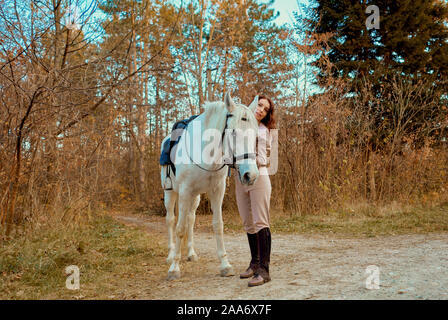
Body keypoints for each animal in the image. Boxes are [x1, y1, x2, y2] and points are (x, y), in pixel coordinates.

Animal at [160, 92, 260, 280]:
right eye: (233, 132)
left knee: (191, 219)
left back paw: (191, 253)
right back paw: (170, 255)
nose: (250, 175)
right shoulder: (185, 191)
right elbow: (179, 229)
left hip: (196, 197)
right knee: (170, 220)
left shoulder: (217, 191)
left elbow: (218, 225)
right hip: (171, 193)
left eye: (256, 135)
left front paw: (225, 265)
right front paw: (174, 268)